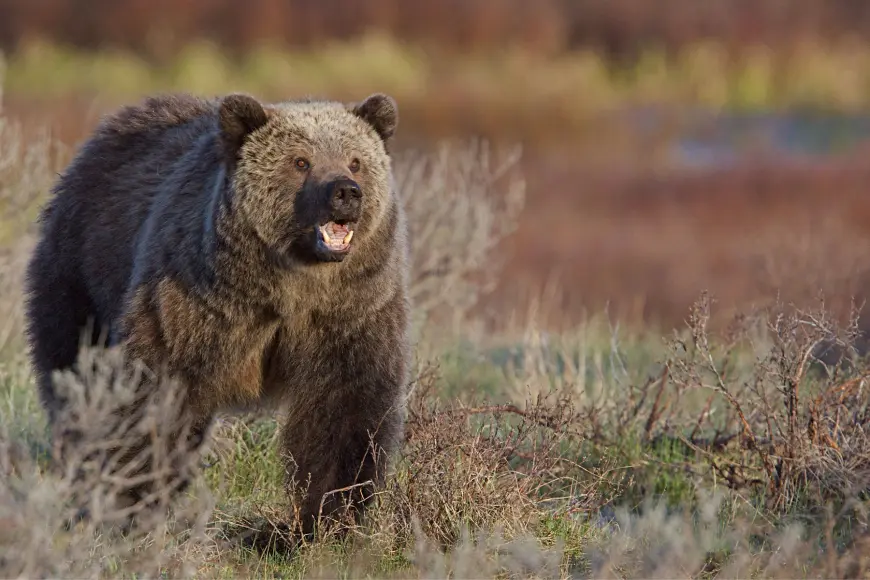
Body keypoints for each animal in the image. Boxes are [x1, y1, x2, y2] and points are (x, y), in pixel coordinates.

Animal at [23, 92, 412, 540]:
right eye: (300, 161)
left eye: (355, 161)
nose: (346, 192)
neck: (287, 287)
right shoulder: (196, 303)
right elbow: (155, 393)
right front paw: (131, 501)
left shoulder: (351, 313)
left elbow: (344, 410)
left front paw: (326, 520)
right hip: (81, 274)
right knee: (75, 373)